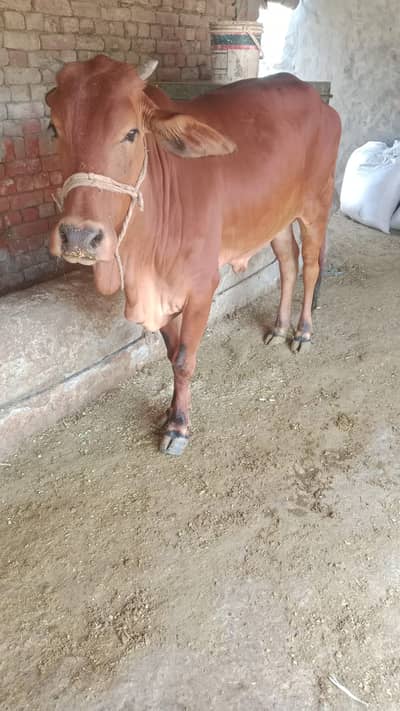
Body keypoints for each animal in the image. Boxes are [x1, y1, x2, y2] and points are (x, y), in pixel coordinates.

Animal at [47, 55, 341, 456]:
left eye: (131, 133)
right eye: (54, 129)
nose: (78, 235)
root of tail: (321, 103)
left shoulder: (202, 287)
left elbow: (186, 359)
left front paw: (179, 427)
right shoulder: (161, 291)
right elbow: (173, 354)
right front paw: (170, 412)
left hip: (316, 206)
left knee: (310, 266)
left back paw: (303, 332)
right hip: (276, 217)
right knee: (288, 264)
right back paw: (279, 327)